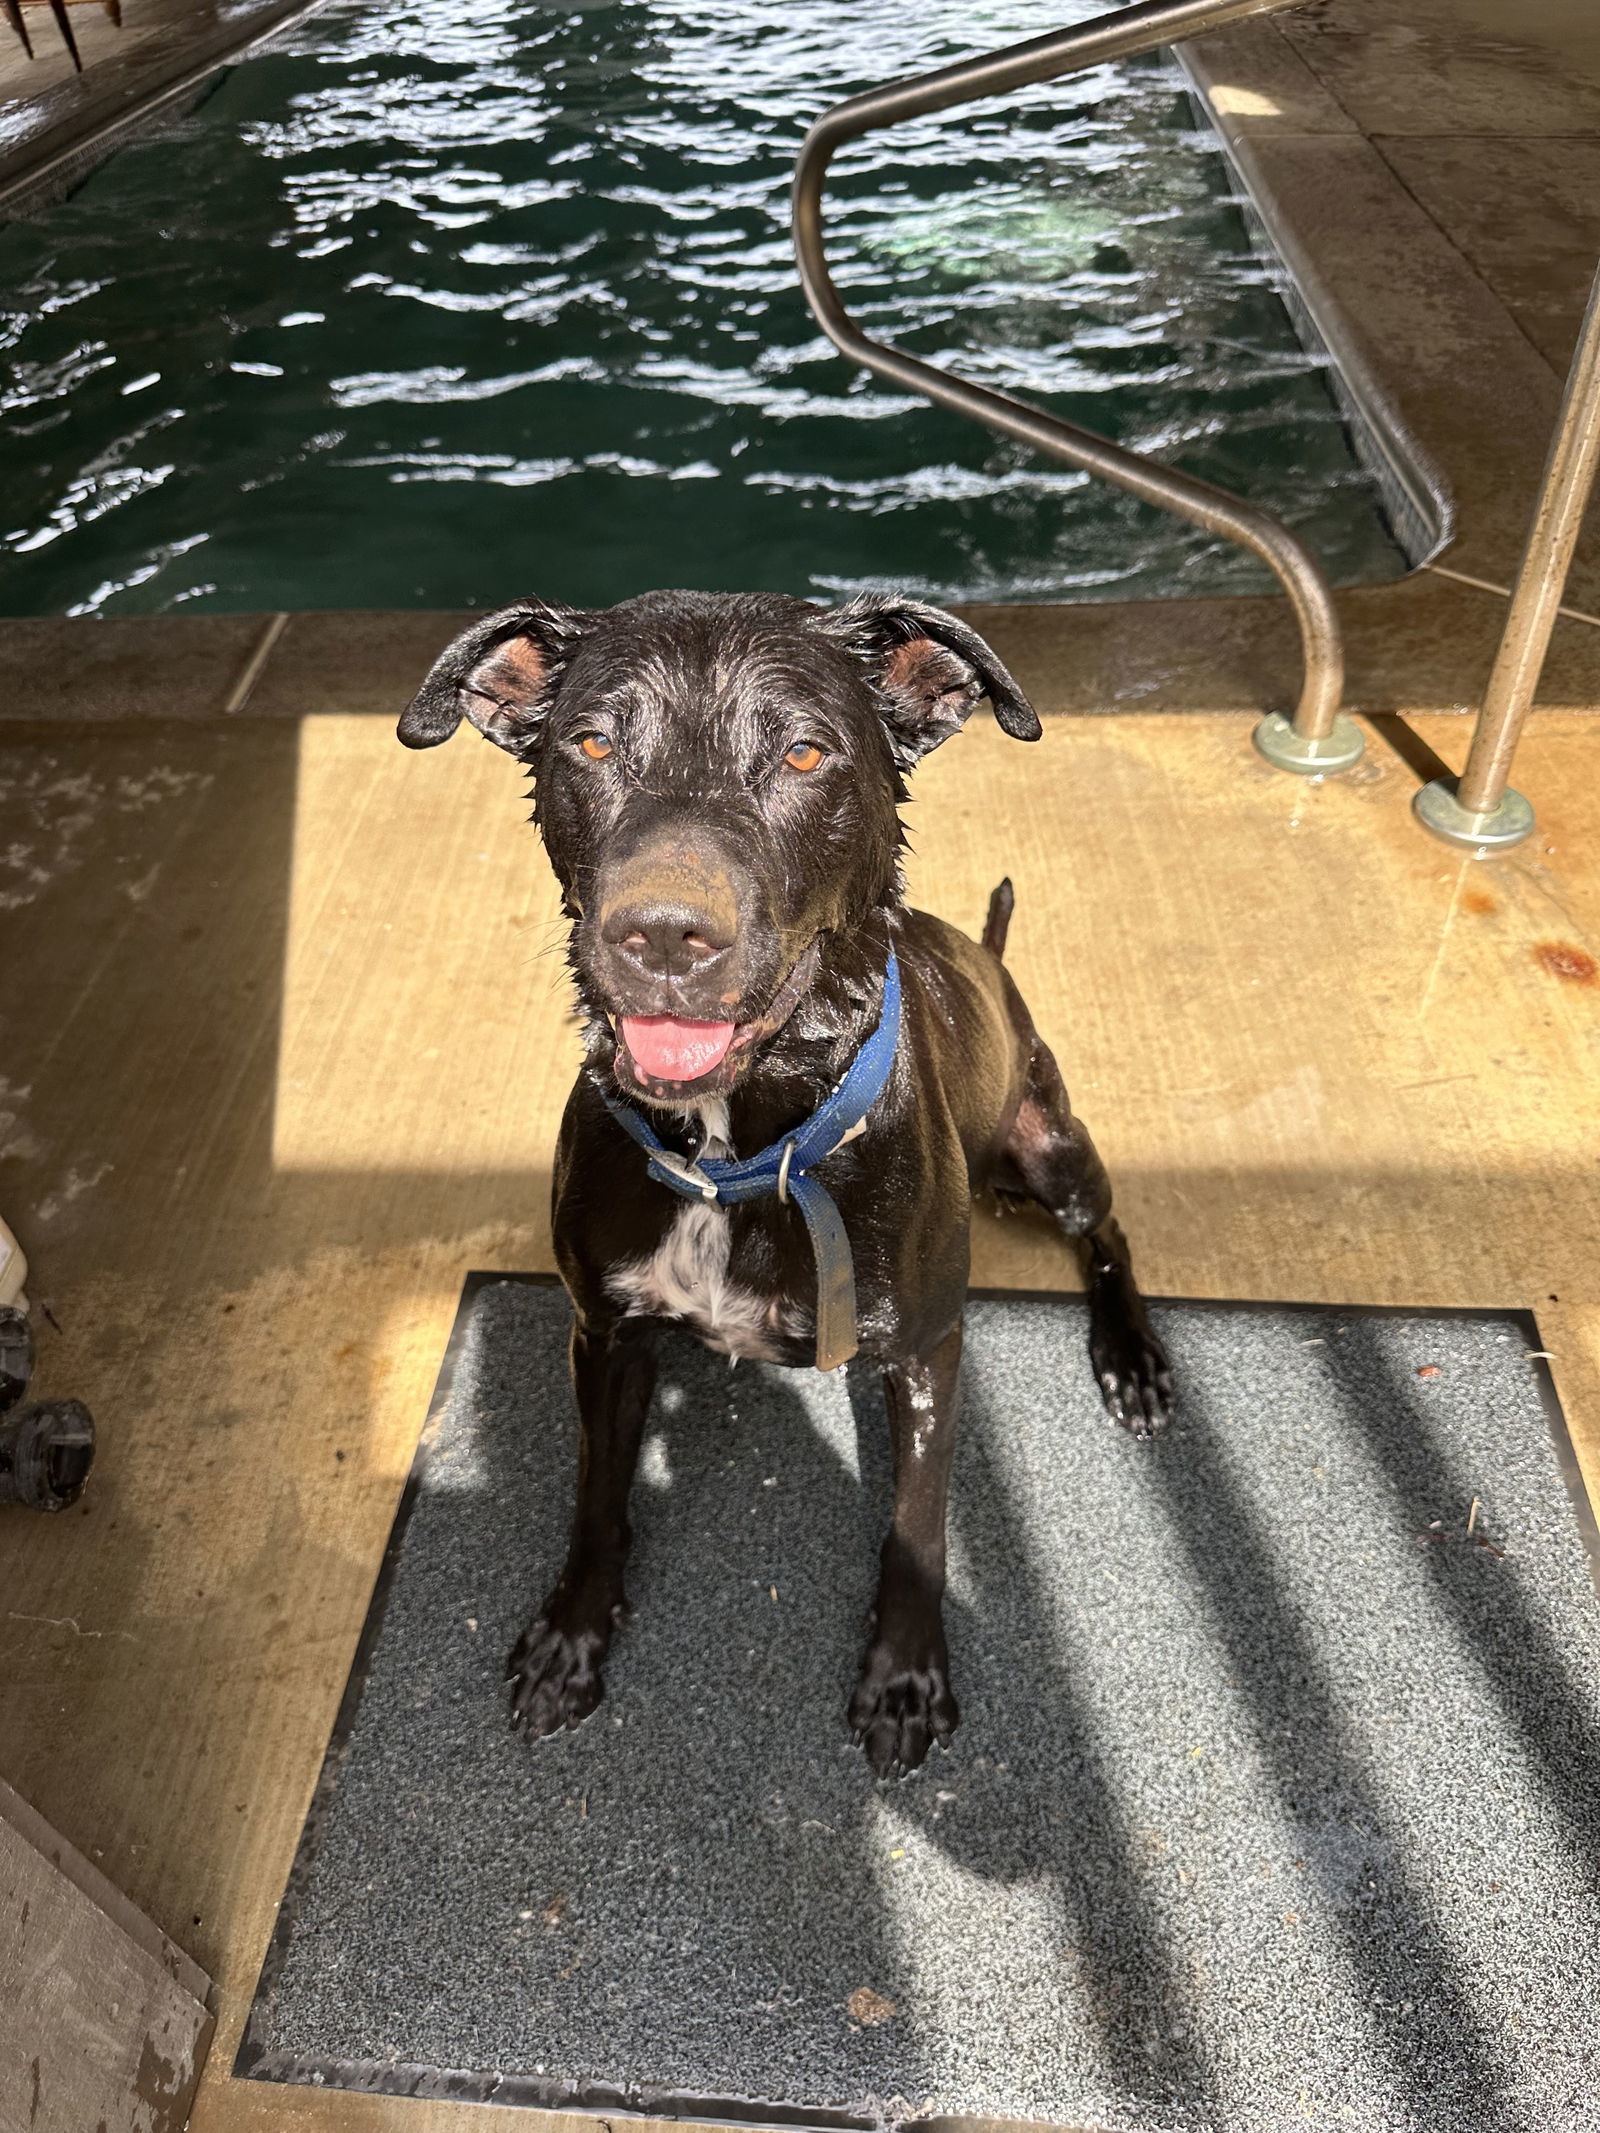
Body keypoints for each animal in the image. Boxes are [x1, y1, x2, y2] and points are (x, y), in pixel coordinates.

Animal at [398, 592, 1177, 1774]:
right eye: (592, 743)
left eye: (806, 753)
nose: (663, 935)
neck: (739, 1153)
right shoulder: (604, 1335)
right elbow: (596, 1495)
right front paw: (574, 1632)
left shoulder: (926, 1353)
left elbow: (917, 1521)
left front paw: (903, 1674)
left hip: (1054, 1148)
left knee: (1108, 1233)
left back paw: (1130, 1357)